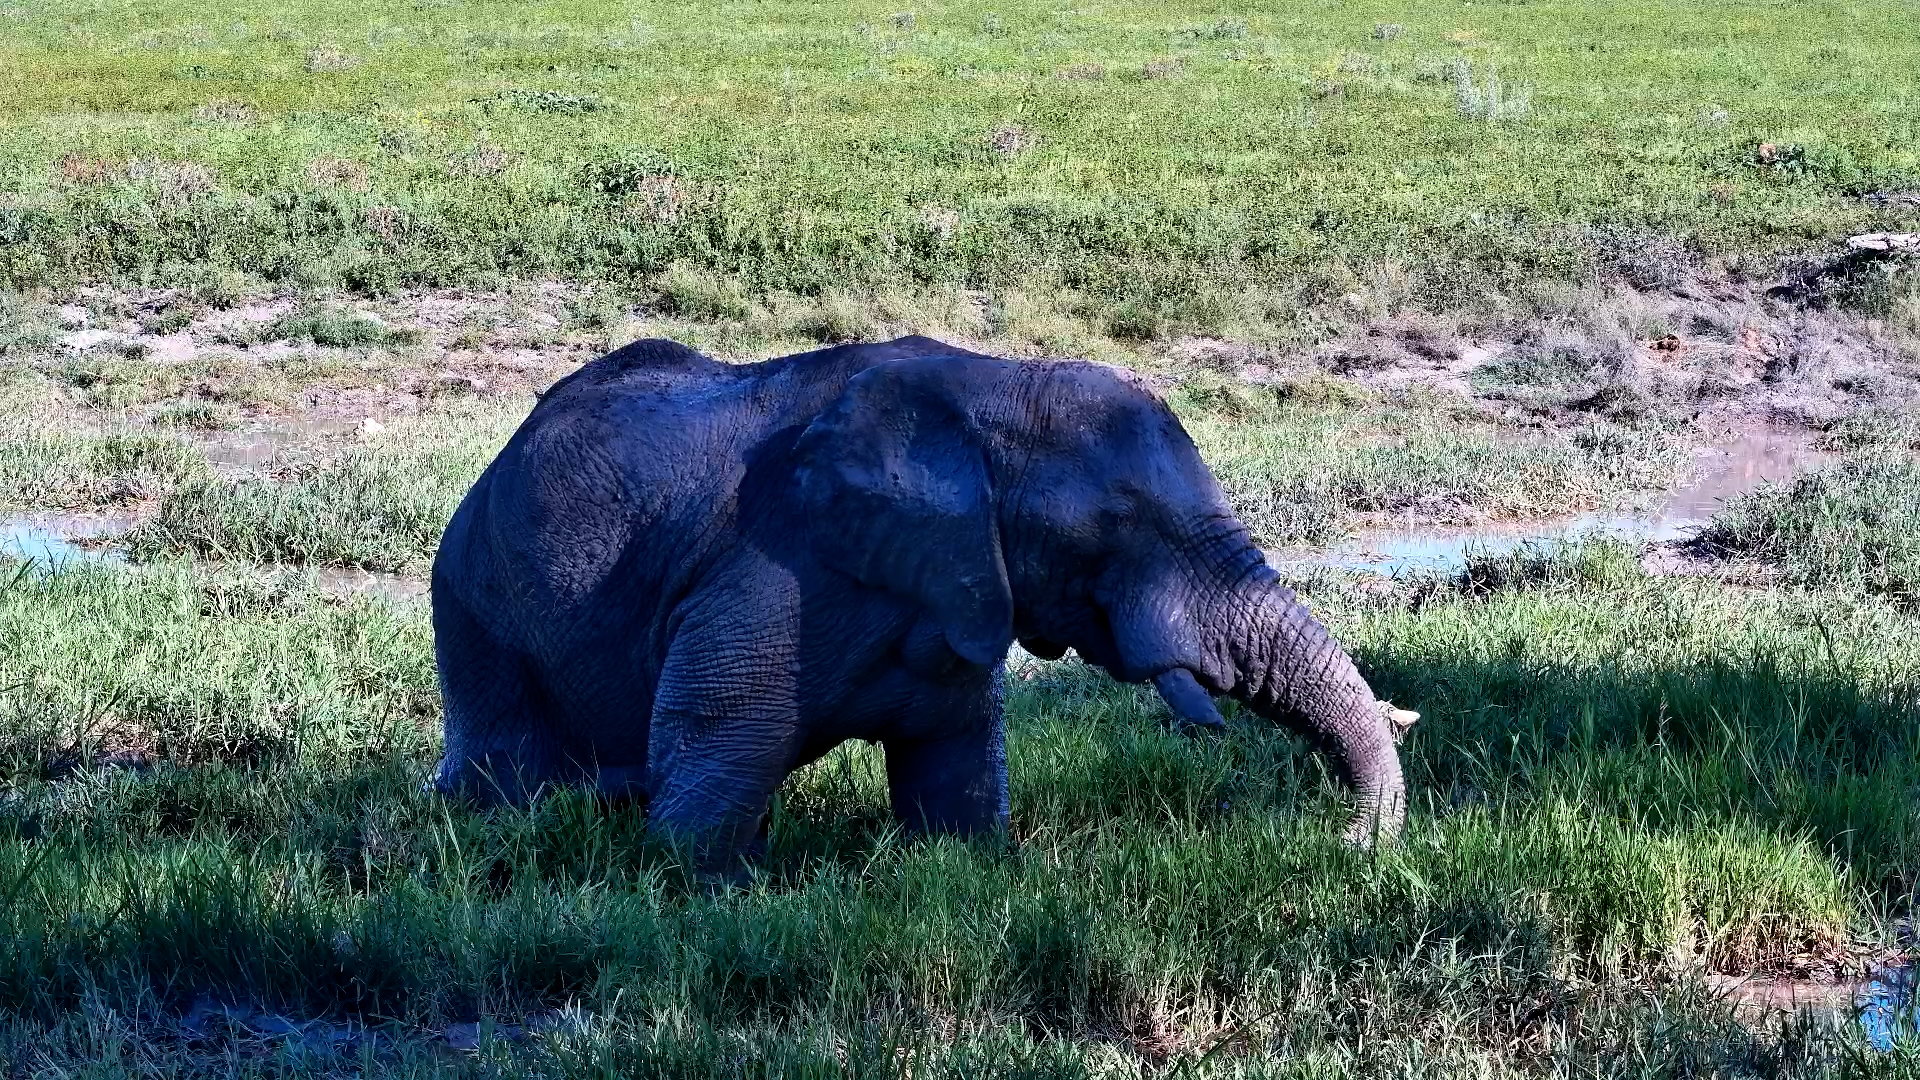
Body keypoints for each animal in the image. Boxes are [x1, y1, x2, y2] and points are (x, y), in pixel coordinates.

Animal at [430, 334, 1417, 872]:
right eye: (1116, 525)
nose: (1343, 845)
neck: (986, 388)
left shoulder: (957, 594)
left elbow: (955, 765)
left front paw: (970, 870)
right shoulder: (774, 567)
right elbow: (714, 737)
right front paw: (711, 892)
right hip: (474, 604)